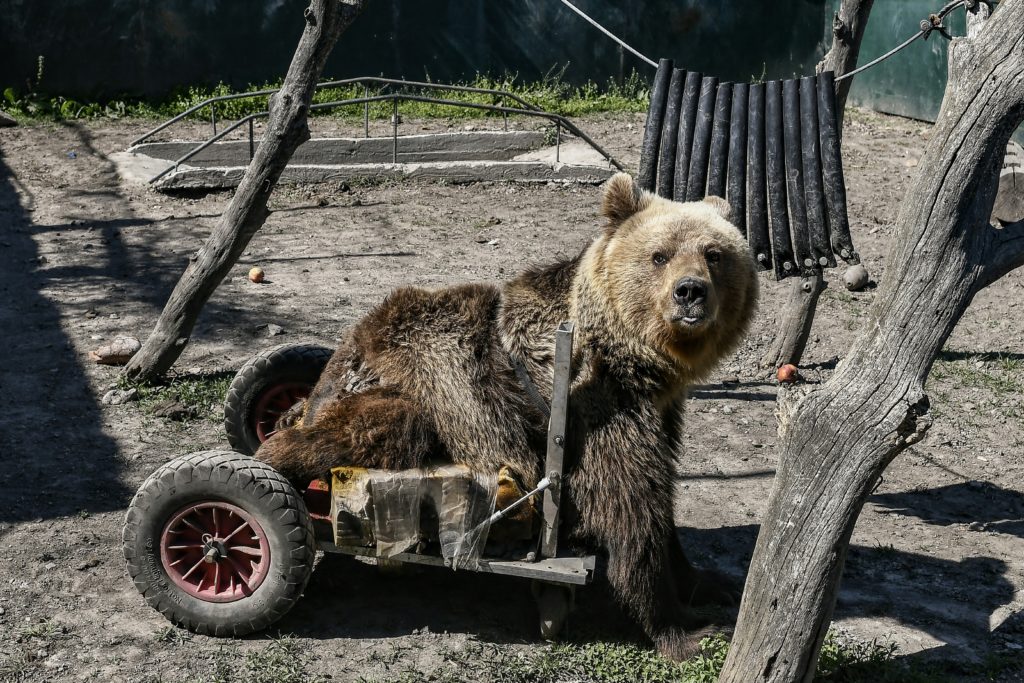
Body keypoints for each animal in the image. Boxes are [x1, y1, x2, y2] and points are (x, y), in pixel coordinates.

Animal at [251, 174, 757, 659]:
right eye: (659, 255)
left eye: (714, 254)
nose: (690, 292)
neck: (636, 359)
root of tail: (335, 367)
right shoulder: (597, 407)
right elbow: (630, 508)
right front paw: (686, 631)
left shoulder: (660, 410)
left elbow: (660, 500)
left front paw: (712, 582)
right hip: (414, 386)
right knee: (364, 431)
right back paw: (273, 461)